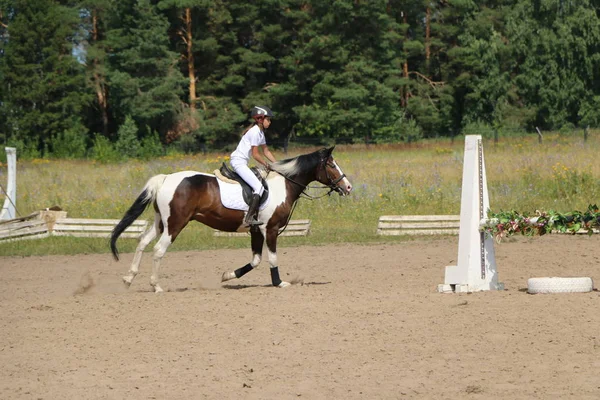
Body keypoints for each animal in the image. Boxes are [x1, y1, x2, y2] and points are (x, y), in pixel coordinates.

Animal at [109, 145, 352, 292]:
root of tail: (166, 178)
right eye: (331, 165)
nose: (348, 187)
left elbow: (255, 260)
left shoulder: (256, 231)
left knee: (142, 242)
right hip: (175, 224)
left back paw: (129, 278)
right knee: (159, 250)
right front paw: (279, 282)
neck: (284, 185)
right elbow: (272, 258)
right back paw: (156, 286)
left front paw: (227, 276)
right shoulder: (270, 229)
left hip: (162, 222)